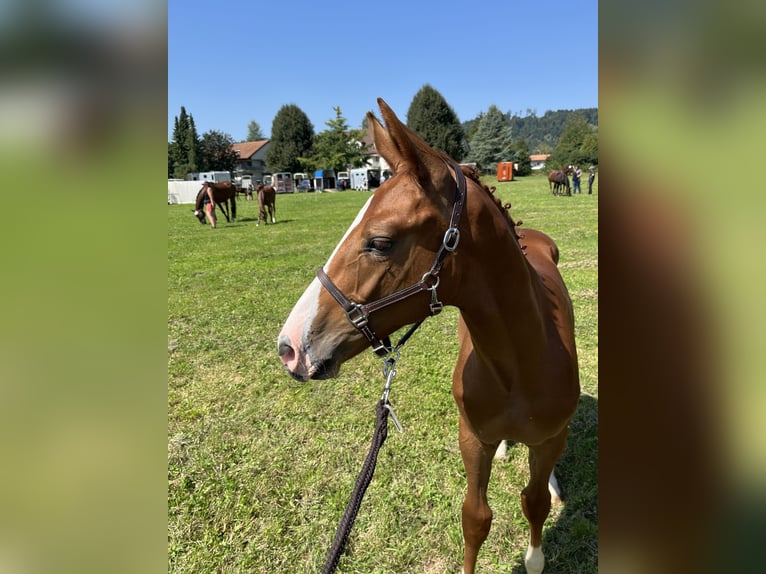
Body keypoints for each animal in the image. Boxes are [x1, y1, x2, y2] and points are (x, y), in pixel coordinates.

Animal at [280, 99, 580, 574]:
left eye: (380, 242)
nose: (289, 348)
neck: (519, 365)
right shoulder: (471, 437)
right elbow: (475, 518)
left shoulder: (549, 437)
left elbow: (534, 505)